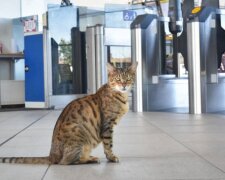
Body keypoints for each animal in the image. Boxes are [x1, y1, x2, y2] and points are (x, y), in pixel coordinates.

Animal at [0, 62, 137, 165]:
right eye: (118, 79)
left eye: (128, 79)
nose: (124, 85)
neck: (121, 96)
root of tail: (52, 155)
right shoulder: (107, 125)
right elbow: (109, 145)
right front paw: (112, 157)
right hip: (79, 135)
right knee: (66, 161)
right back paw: (90, 160)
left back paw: (90, 157)